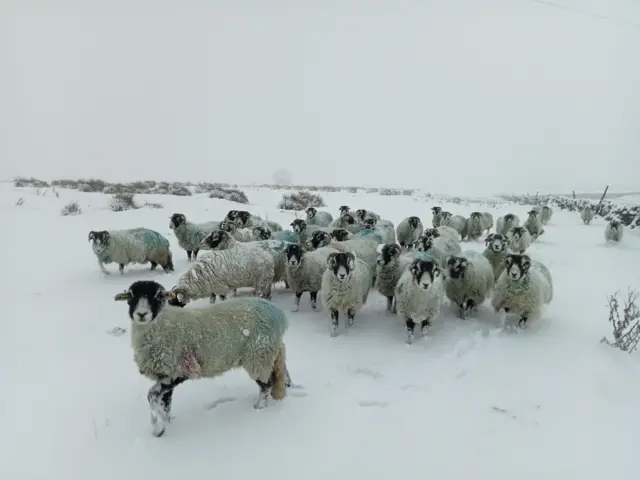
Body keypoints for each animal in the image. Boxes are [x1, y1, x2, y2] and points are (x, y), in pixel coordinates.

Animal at [115, 280, 290, 436]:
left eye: (158, 296)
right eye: (131, 296)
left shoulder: (181, 370)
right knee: (280, 371)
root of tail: (278, 314)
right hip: (270, 351)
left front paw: (158, 427)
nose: (141, 314)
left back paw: (259, 408)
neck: (162, 325)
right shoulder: (165, 374)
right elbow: (166, 402)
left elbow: (151, 395)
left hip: (258, 356)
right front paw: (166, 422)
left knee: (266, 386)